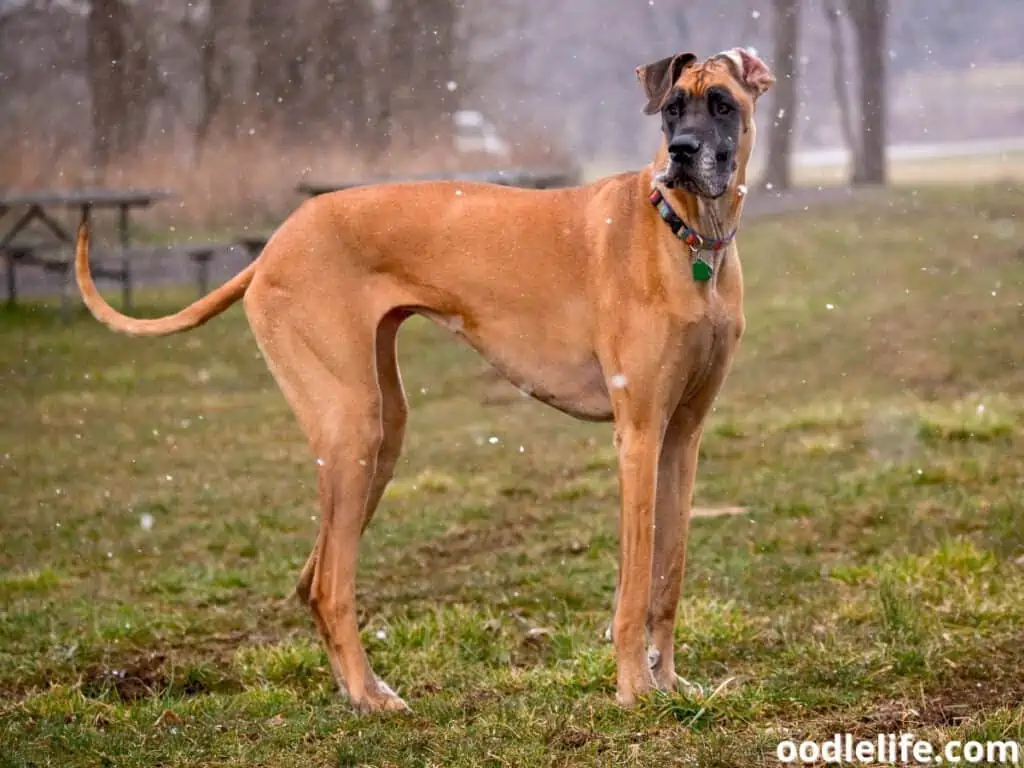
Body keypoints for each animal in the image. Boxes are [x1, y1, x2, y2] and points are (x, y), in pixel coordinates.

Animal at [75, 46, 770, 708]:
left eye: (722, 104)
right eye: (671, 109)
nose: (681, 154)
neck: (688, 237)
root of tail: (274, 244)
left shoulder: (681, 438)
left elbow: (669, 574)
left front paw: (670, 683)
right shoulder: (638, 435)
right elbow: (634, 586)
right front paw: (633, 690)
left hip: (383, 433)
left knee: (313, 578)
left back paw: (362, 691)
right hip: (352, 426)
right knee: (330, 584)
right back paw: (368, 696)